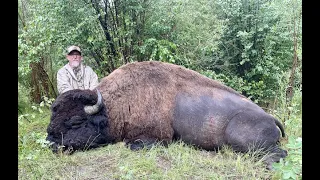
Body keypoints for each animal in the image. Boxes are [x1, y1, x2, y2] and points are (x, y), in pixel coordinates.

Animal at [47, 60, 288, 169]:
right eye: (53, 116)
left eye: (76, 121)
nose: (50, 142)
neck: (114, 106)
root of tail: (270, 117)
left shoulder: (156, 137)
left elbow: (131, 144)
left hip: (243, 139)